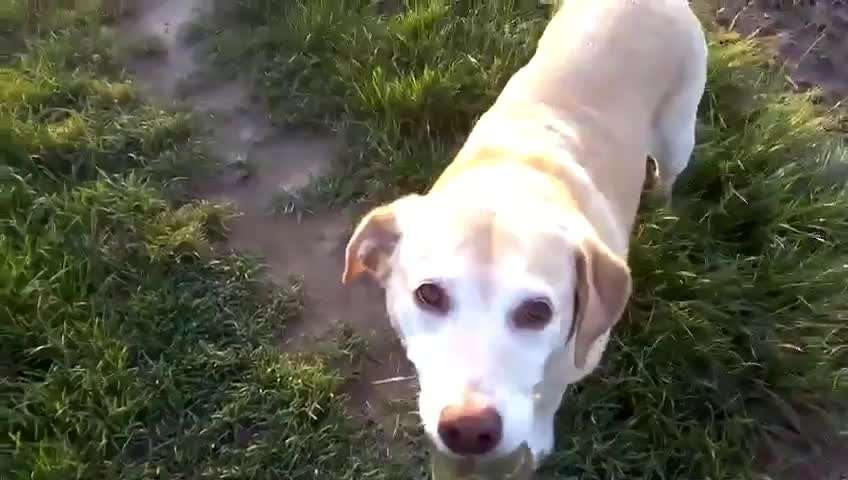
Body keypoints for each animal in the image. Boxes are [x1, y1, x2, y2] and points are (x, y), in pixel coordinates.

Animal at [342, 0, 704, 468]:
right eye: (429, 295)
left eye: (537, 312)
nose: (468, 428)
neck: (511, 182)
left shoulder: (571, 360)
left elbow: (547, 396)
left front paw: (538, 438)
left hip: (677, 135)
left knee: (668, 173)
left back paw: (661, 205)